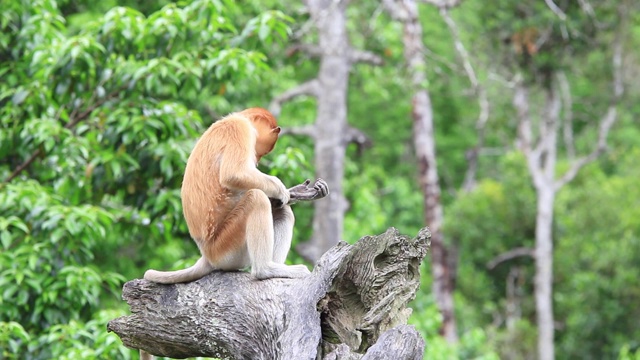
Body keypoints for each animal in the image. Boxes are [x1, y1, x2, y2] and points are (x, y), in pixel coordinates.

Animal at [143, 107, 328, 284]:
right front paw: (283, 191)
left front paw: (297, 192)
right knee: (256, 199)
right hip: (225, 248)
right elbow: (235, 174)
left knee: (282, 211)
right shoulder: (240, 129)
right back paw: (266, 269)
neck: (238, 117)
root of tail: (206, 255)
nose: (257, 159)